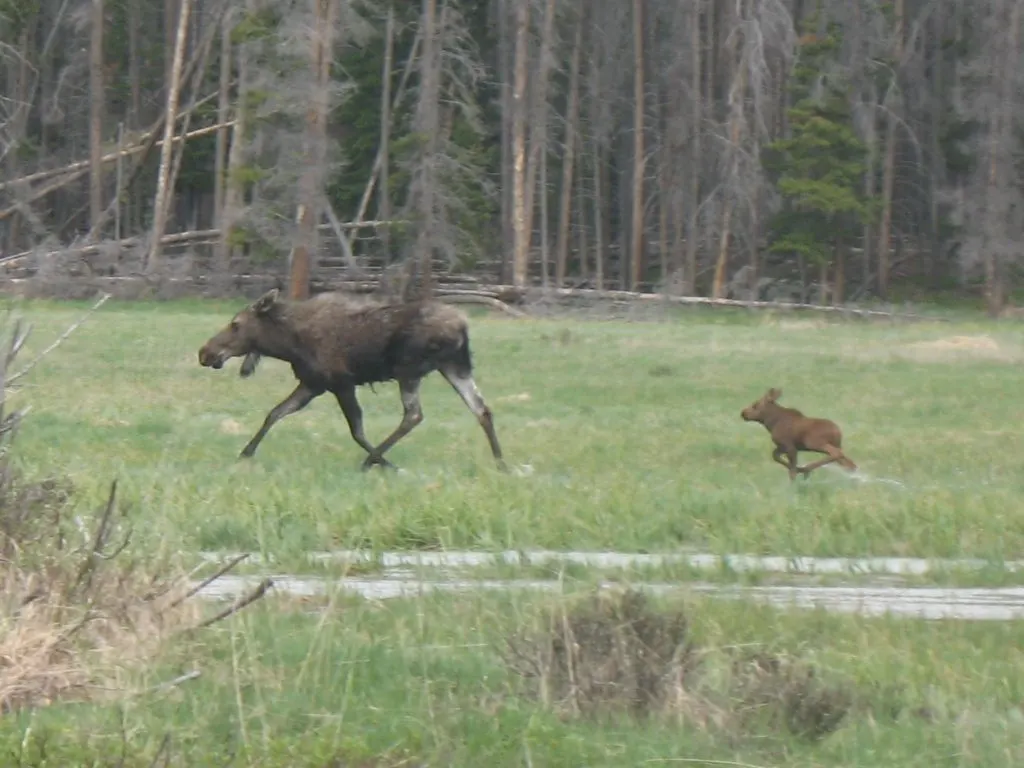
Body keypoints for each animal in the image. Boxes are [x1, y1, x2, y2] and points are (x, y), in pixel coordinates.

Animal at [195, 286, 503, 473]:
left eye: (236, 324)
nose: (204, 352)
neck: (286, 344)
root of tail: (463, 326)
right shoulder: (312, 384)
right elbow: (275, 413)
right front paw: (245, 453)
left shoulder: (340, 382)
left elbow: (357, 430)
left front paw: (384, 464)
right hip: (454, 367)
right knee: (482, 409)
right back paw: (501, 462)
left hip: (409, 369)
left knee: (413, 415)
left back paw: (371, 462)